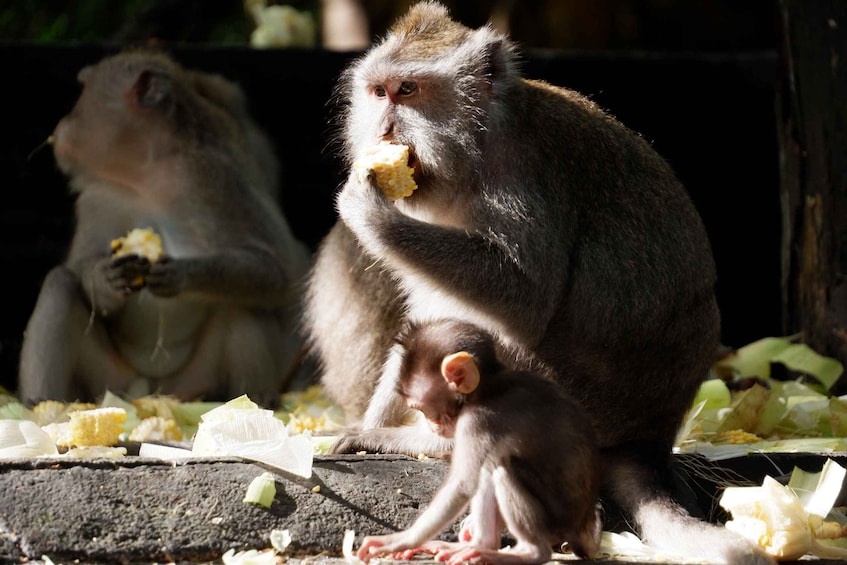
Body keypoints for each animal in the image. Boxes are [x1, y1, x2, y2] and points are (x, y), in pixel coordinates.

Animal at [18, 48, 311, 408]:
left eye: (83, 91)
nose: (63, 122)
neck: (145, 178)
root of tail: (155, 393)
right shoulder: (98, 198)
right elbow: (78, 265)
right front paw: (102, 279)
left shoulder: (210, 177)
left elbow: (273, 267)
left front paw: (184, 275)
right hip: (113, 382)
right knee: (60, 284)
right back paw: (43, 405)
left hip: (195, 382)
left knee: (241, 301)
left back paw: (254, 399)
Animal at [357, 318, 601, 565]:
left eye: (421, 408)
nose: (432, 426)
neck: (486, 388)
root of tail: (583, 527)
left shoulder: (477, 421)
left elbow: (462, 485)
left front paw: (397, 540)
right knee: (489, 468)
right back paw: (481, 545)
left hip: (555, 520)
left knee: (502, 469)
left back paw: (528, 552)